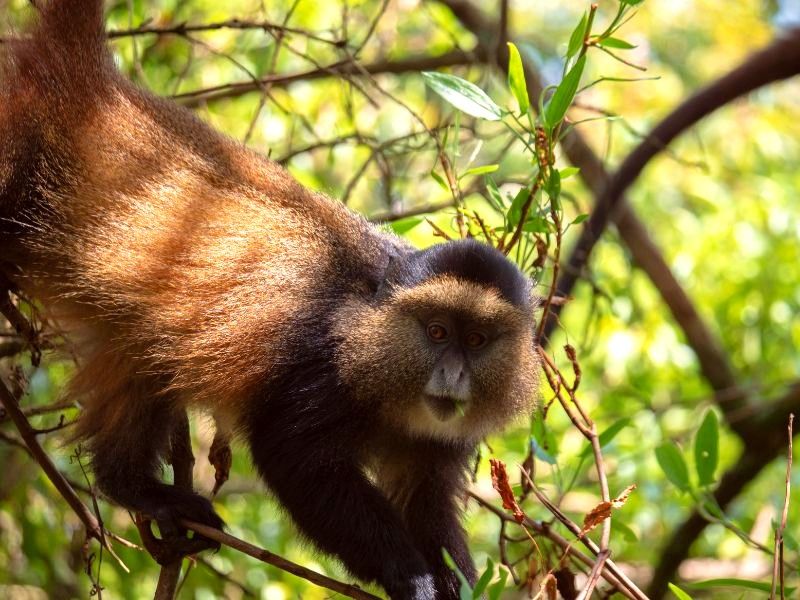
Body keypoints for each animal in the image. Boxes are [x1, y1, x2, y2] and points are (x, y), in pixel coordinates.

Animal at [0, 2, 538, 598]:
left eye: (477, 340)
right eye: (437, 331)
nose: (452, 374)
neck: (372, 336)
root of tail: (91, 86)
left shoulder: (438, 443)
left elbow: (427, 502)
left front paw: (454, 580)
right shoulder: (318, 367)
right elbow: (294, 460)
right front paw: (412, 576)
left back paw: (136, 487)